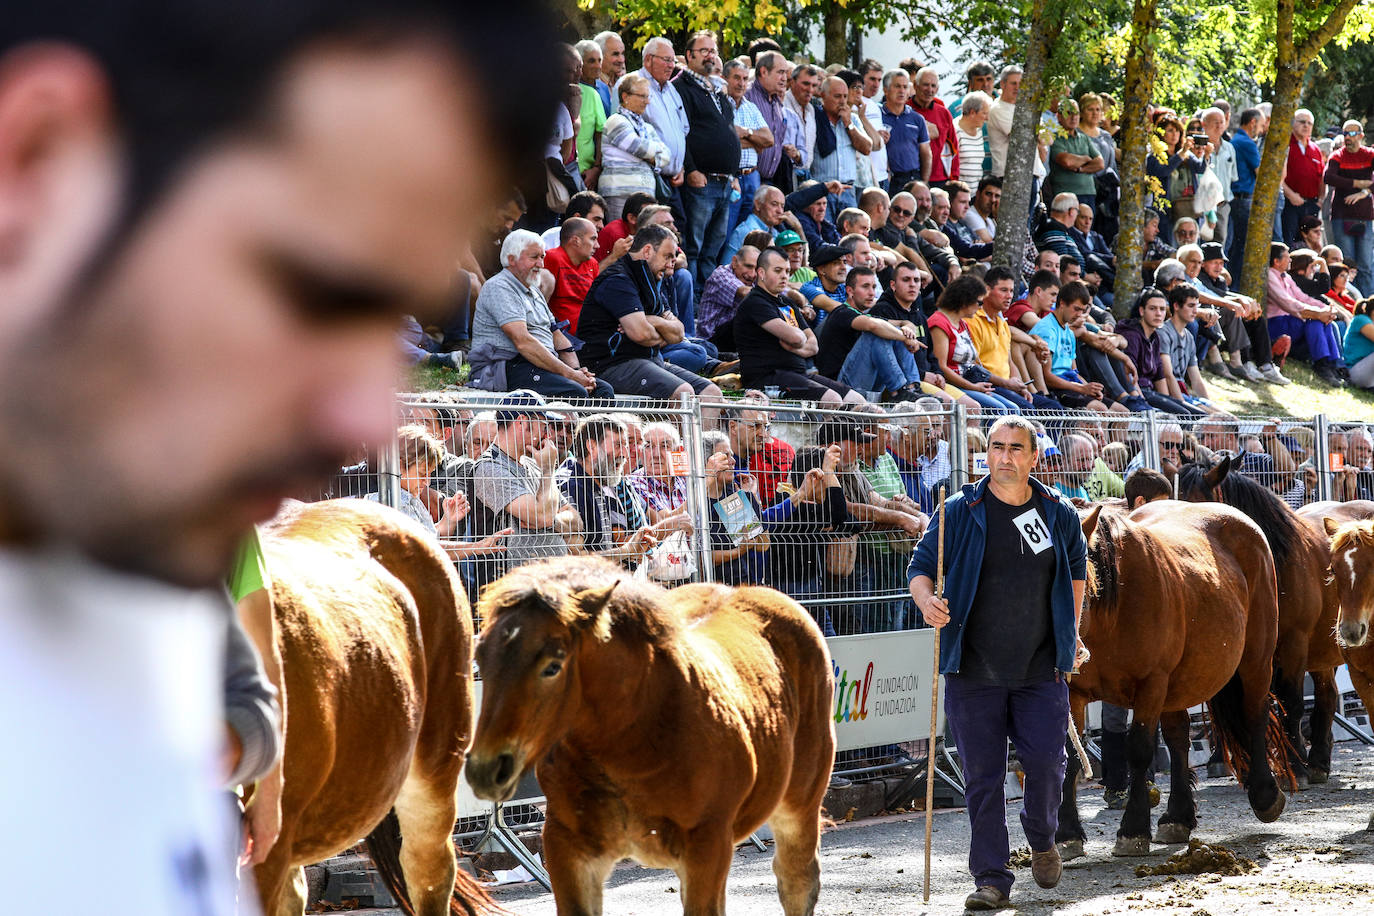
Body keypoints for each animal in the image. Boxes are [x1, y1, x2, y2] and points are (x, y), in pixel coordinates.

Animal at [467, 554, 829, 916]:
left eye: (552, 666)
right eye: (479, 659)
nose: (486, 768)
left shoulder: (708, 845)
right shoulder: (566, 845)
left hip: (799, 806)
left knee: (796, 881)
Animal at [1060, 502, 1286, 862]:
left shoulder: (1151, 683)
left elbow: (1139, 750)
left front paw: (1133, 829)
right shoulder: (1074, 691)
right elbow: (1068, 754)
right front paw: (1067, 834)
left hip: (1256, 660)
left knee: (1255, 713)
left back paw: (1265, 794)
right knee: (1179, 737)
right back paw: (1178, 817)